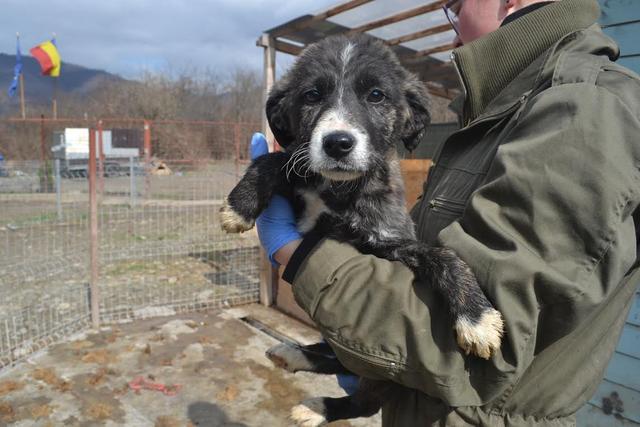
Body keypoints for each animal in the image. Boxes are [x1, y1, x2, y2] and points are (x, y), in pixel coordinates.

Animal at [222, 34, 502, 424]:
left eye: (376, 95)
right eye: (311, 95)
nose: (337, 143)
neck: (339, 192)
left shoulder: (388, 244)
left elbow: (442, 255)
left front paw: (477, 317)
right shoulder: (301, 184)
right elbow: (276, 158)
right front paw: (240, 204)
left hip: (378, 375)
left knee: (359, 393)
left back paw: (316, 403)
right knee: (335, 356)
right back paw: (295, 355)